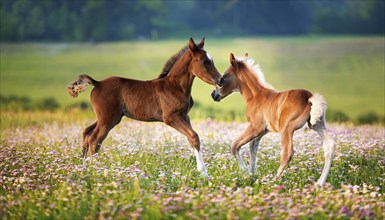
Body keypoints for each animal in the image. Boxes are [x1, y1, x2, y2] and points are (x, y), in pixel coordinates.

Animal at [67, 37, 220, 175]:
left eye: (212, 60)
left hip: (109, 117)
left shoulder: (185, 116)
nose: (220, 80)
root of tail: (97, 83)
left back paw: (83, 167)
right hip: (108, 119)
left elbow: (191, 138)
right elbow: (194, 136)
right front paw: (203, 173)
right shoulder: (171, 118)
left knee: (86, 132)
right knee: (94, 139)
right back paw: (94, 169)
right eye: (204, 61)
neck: (175, 86)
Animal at [212, 53, 334, 186]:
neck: (255, 96)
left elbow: (235, 145)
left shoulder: (256, 127)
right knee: (329, 146)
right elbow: (252, 147)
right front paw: (252, 175)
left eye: (224, 77)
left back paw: (273, 181)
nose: (213, 94)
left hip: (287, 128)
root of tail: (310, 98)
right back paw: (320, 183)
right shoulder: (263, 130)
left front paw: (245, 173)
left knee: (288, 153)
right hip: (317, 124)